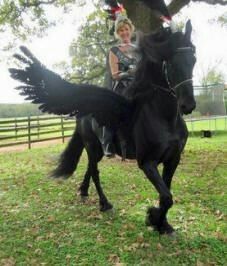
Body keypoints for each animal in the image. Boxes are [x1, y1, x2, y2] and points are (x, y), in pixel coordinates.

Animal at [8, 20, 196, 234]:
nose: (188, 105)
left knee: (90, 169)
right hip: (92, 146)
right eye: (171, 63)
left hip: (96, 150)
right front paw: (152, 218)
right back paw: (104, 203)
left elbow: (166, 193)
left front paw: (162, 224)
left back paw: (83, 191)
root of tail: (83, 112)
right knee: (95, 173)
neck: (164, 118)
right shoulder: (147, 162)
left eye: (193, 59)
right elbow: (166, 196)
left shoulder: (173, 159)